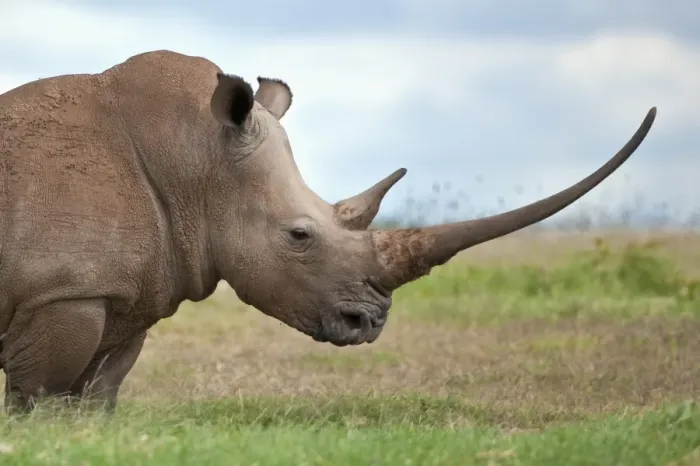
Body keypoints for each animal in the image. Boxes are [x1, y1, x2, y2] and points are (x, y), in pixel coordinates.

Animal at [0, 50, 656, 413]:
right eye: (299, 236)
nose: (369, 323)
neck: (196, 166)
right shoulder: (62, 292)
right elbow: (37, 397)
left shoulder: (130, 290)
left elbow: (96, 395)